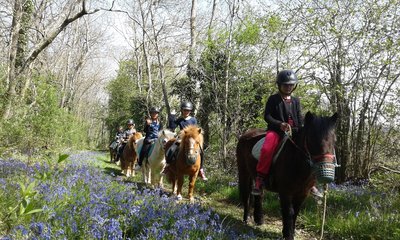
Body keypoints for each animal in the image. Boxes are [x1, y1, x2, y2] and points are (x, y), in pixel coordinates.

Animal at [238, 111, 338, 239]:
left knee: (259, 195)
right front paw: (288, 234)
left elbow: (296, 211)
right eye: (311, 139)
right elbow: (288, 212)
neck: (296, 161)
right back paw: (246, 219)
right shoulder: (285, 192)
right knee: (246, 195)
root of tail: (245, 134)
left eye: (334, 140)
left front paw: (291, 232)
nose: (326, 167)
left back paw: (259, 220)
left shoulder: (302, 193)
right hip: (244, 173)